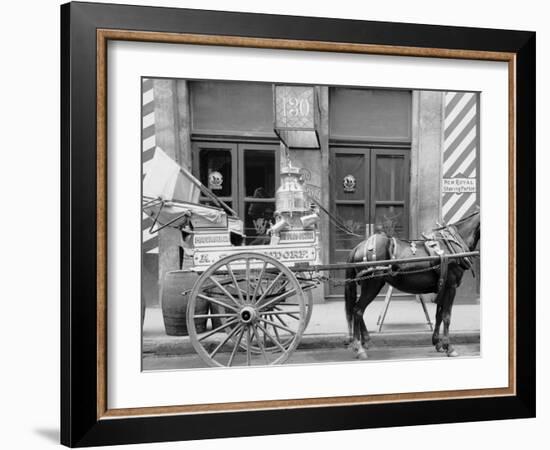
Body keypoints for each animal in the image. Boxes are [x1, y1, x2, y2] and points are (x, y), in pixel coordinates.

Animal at [344, 209, 478, 360]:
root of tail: (358, 247)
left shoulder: (443, 286)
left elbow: (439, 315)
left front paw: (438, 343)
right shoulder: (451, 286)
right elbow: (447, 316)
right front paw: (449, 347)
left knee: (358, 310)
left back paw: (366, 341)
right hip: (372, 284)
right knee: (358, 310)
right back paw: (359, 347)